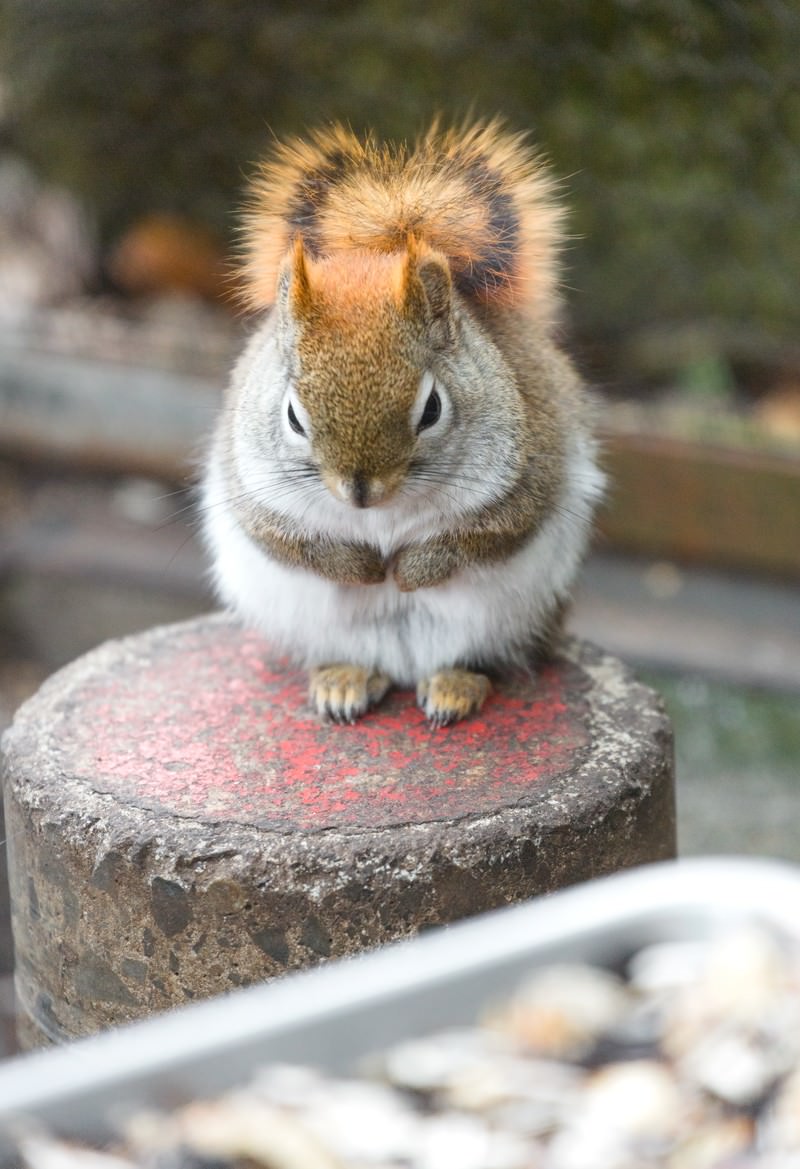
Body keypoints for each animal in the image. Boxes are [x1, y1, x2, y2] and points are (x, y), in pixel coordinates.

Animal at [203, 118, 603, 720]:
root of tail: (401, 666)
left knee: (478, 658)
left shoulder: (535, 470)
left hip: (513, 619)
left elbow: (487, 535)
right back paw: (344, 680)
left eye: (432, 408)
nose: (360, 491)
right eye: (293, 416)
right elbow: (282, 538)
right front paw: (363, 569)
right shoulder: (247, 485)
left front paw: (412, 570)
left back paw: (456, 686)